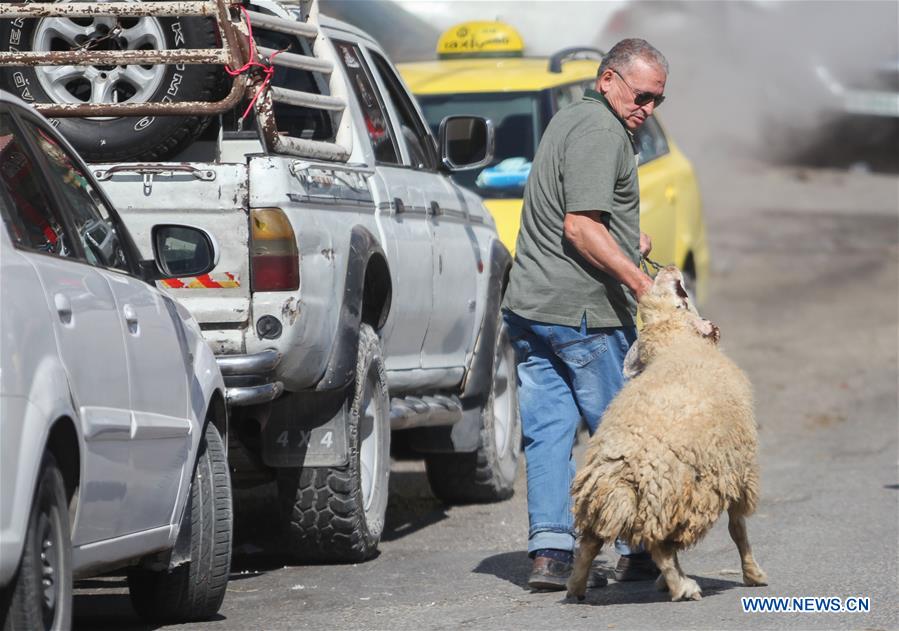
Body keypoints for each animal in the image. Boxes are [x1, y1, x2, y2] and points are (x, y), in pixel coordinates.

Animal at [568, 266, 768, 604]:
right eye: (681, 304)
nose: (669, 269)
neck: (676, 347)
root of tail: (621, 469)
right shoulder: (737, 472)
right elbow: (738, 529)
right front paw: (753, 575)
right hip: (672, 494)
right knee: (659, 547)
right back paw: (683, 587)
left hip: (616, 500)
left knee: (590, 544)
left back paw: (576, 586)